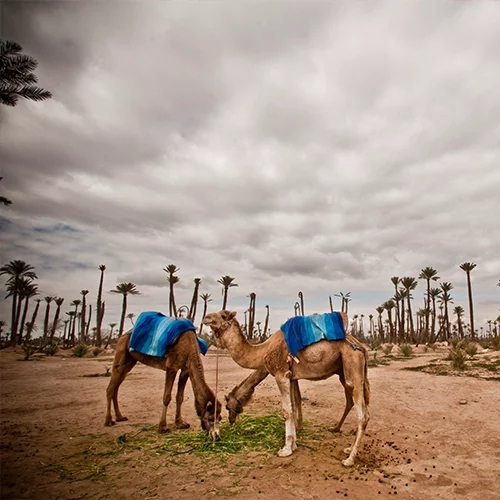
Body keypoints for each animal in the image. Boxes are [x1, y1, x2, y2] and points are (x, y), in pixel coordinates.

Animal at [203, 310, 372, 466]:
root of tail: (362, 347)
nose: (206, 317)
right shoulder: (291, 377)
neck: (263, 350)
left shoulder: (281, 375)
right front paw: (294, 444)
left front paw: (286, 449)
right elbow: (294, 406)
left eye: (223, 316)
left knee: (363, 415)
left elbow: (286, 411)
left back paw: (349, 459)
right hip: (346, 372)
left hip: (352, 367)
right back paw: (348, 449)